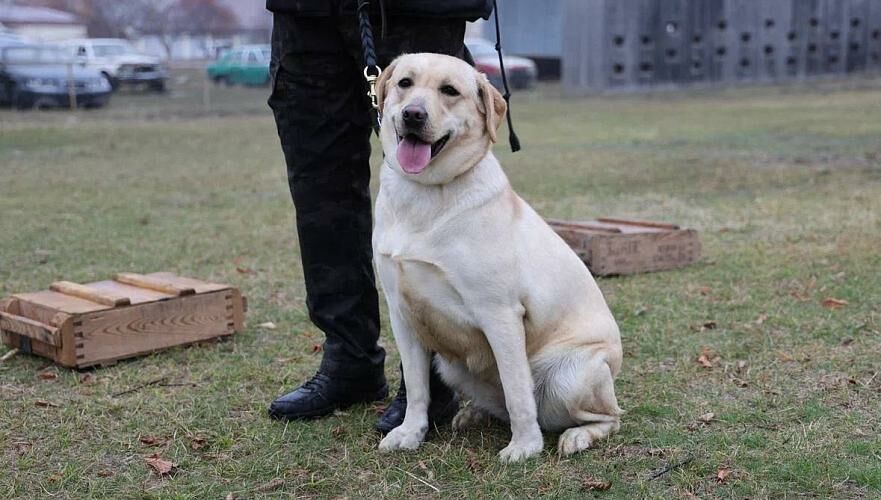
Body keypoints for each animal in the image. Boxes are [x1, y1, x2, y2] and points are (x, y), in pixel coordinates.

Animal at [374, 53, 624, 460]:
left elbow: (517, 390)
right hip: (452, 366)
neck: (427, 193)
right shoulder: (402, 313)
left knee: (608, 417)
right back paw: (474, 414)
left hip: (569, 375)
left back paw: (577, 436)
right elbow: (415, 387)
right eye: (405, 83)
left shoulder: (500, 314)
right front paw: (410, 433)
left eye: (449, 91)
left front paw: (524, 446)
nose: (413, 115)